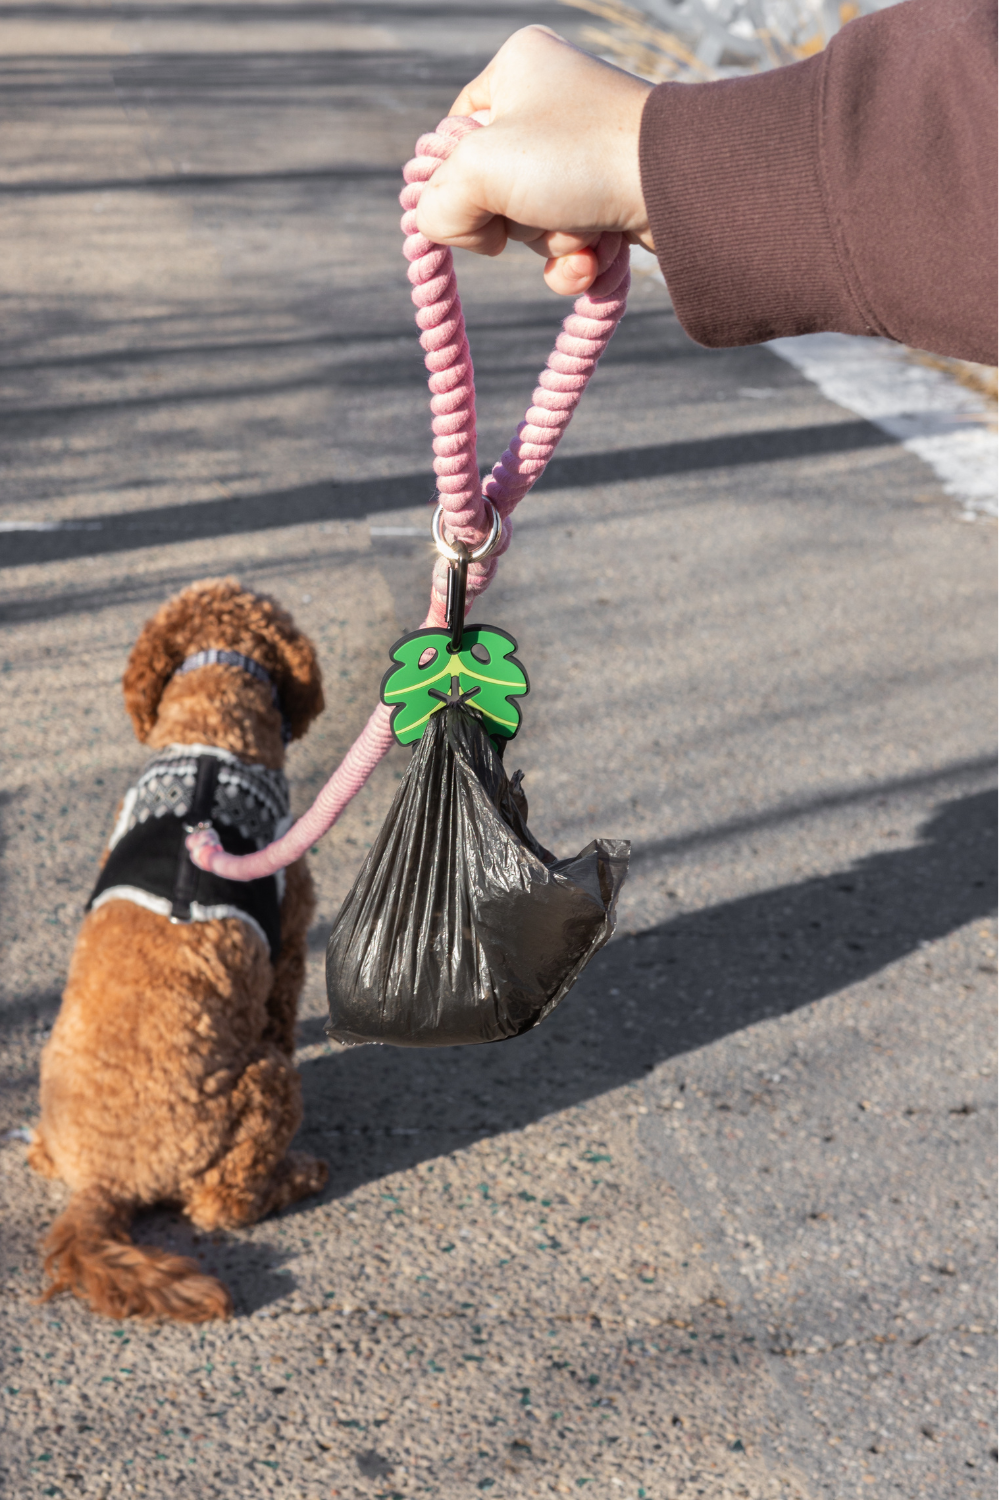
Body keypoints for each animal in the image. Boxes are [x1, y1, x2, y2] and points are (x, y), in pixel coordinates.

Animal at [28, 579, 327, 1320]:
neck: (211, 740)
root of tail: (103, 1183)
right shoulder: (290, 944)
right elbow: (282, 1018)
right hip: (264, 1091)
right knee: (221, 1203)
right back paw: (297, 1175)